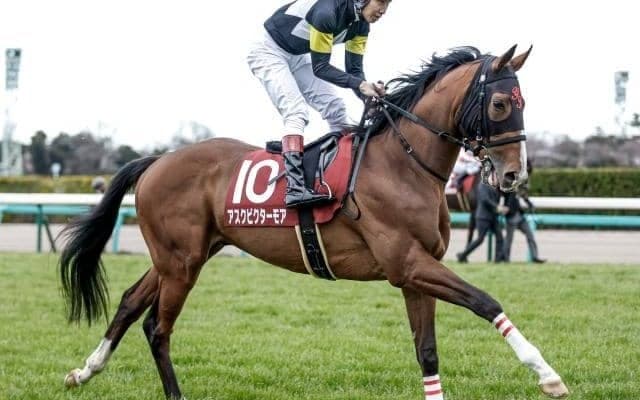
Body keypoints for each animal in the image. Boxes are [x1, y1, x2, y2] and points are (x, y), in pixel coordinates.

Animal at [59, 45, 569, 399]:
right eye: (501, 103)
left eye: (522, 101)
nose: (514, 175)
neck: (404, 164)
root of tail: (158, 160)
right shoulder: (407, 262)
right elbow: (485, 301)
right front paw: (547, 374)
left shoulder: (414, 273)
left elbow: (426, 350)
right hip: (182, 263)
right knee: (157, 328)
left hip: (182, 255)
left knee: (129, 303)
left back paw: (84, 370)